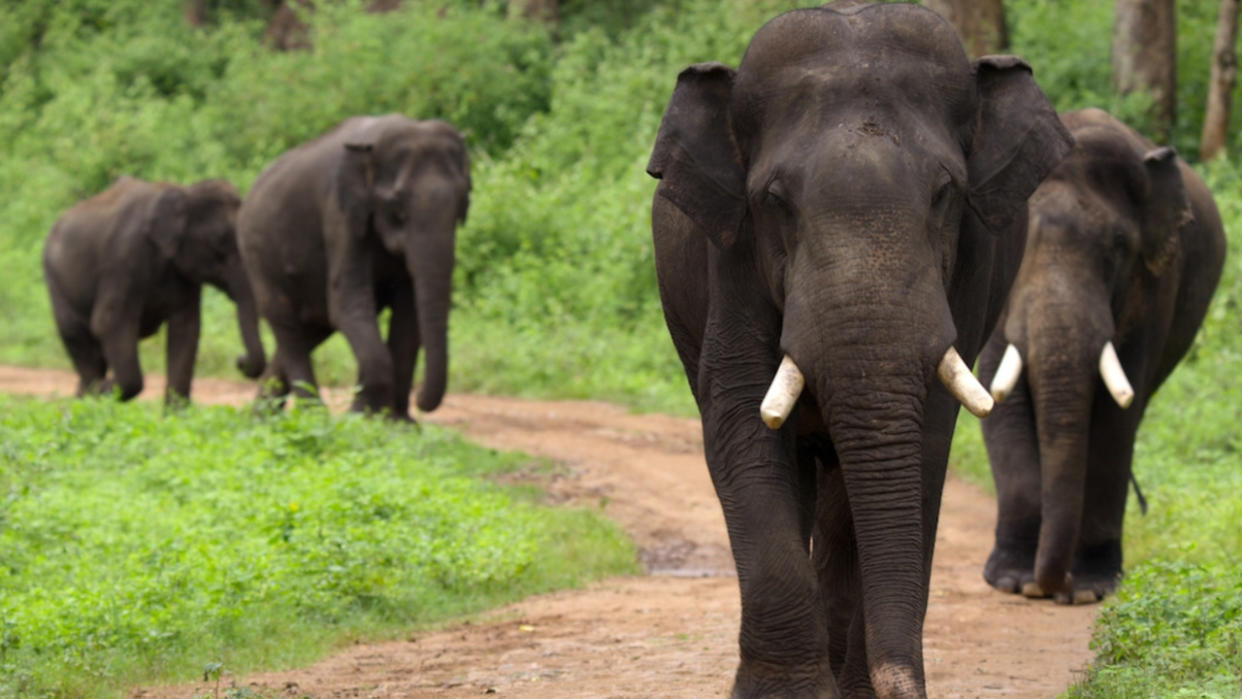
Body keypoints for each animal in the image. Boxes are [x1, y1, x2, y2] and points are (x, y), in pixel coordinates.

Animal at [44, 175, 267, 404]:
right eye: (219, 243)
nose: (240, 360)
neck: (184, 193)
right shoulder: (123, 259)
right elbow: (108, 323)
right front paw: (106, 389)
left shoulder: (184, 276)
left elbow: (186, 329)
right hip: (56, 282)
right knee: (78, 339)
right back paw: (93, 392)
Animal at [234, 114, 466, 422]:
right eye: (397, 207)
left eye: (462, 202)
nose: (421, 402)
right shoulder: (340, 214)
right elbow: (349, 302)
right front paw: (362, 419)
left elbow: (408, 310)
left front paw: (397, 424)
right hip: (257, 256)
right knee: (287, 325)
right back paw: (313, 418)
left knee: (312, 329)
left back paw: (261, 417)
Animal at [645, 2, 1073, 695]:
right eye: (773, 200)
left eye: (945, 193)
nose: (904, 687)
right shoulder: (731, 254)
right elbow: (740, 420)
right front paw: (786, 695)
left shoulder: (970, 269)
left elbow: (922, 442)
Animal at [973, 109, 1227, 608]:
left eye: (1119, 246)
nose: (1050, 587)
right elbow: (999, 393)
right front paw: (1014, 582)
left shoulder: (1155, 283)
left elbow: (1115, 414)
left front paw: (1089, 589)